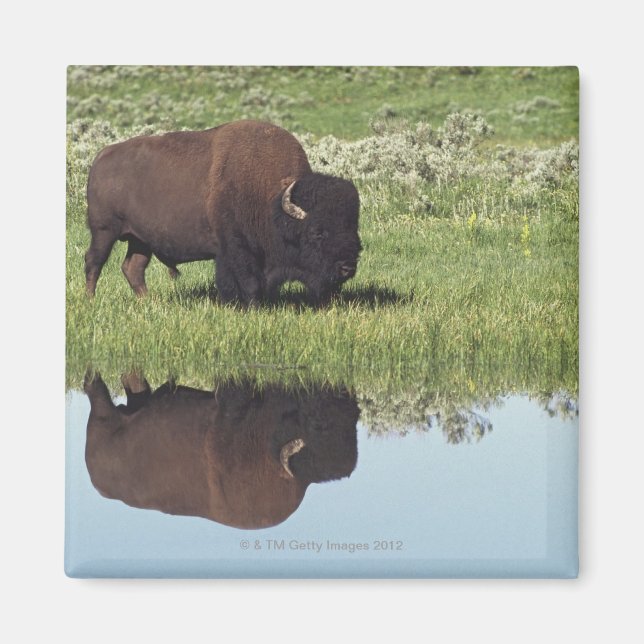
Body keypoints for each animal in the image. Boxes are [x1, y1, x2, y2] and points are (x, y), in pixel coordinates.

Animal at [84, 373, 359, 529]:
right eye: (317, 423)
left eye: (354, 418)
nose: (346, 394)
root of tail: (97, 481)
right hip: (103, 413)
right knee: (93, 388)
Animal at [85, 120, 362, 305]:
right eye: (317, 232)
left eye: (353, 227)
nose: (347, 267)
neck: (271, 199)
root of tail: (101, 157)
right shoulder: (235, 249)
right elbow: (247, 282)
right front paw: (250, 307)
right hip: (104, 231)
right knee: (94, 262)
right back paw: (90, 299)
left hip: (140, 240)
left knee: (133, 268)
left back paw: (148, 301)